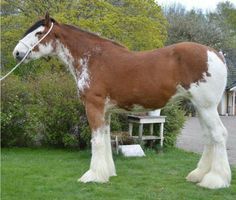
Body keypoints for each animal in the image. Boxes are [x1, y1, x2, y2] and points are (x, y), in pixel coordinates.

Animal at [12, 12, 230, 189]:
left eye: (39, 33)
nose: (17, 53)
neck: (92, 58)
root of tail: (217, 54)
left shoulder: (94, 106)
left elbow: (96, 140)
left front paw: (93, 176)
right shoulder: (106, 111)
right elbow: (105, 139)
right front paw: (107, 173)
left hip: (207, 107)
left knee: (218, 134)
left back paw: (215, 180)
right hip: (200, 107)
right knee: (208, 137)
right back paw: (199, 175)